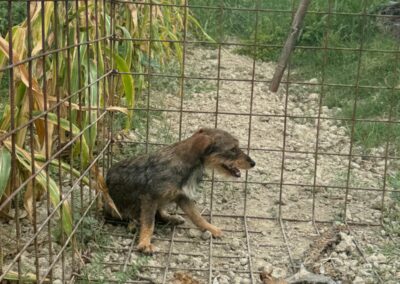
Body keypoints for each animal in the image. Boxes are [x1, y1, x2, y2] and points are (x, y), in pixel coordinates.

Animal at [101, 128, 255, 253]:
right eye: (233, 149)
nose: (253, 163)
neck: (186, 164)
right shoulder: (149, 198)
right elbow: (149, 223)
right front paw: (144, 243)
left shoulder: (182, 197)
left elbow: (196, 216)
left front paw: (210, 228)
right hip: (116, 208)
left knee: (160, 213)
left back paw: (172, 218)